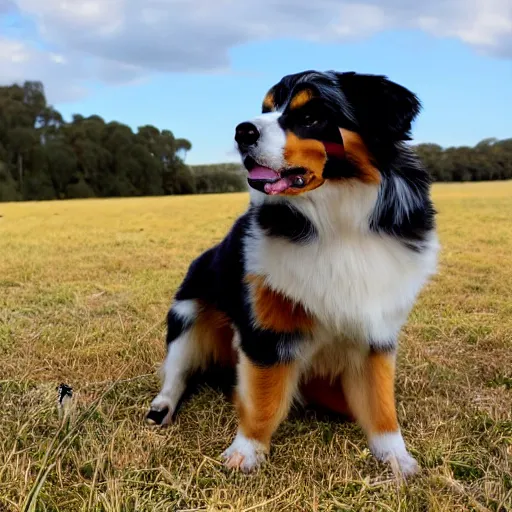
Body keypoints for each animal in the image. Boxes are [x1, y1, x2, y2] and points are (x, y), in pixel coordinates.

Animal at [145, 70, 440, 478]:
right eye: (266, 108)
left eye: (312, 116)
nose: (242, 132)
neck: (338, 221)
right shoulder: (267, 330)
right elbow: (262, 400)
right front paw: (246, 452)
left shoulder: (376, 331)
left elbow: (380, 401)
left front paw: (396, 457)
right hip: (187, 314)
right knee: (177, 372)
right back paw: (162, 407)